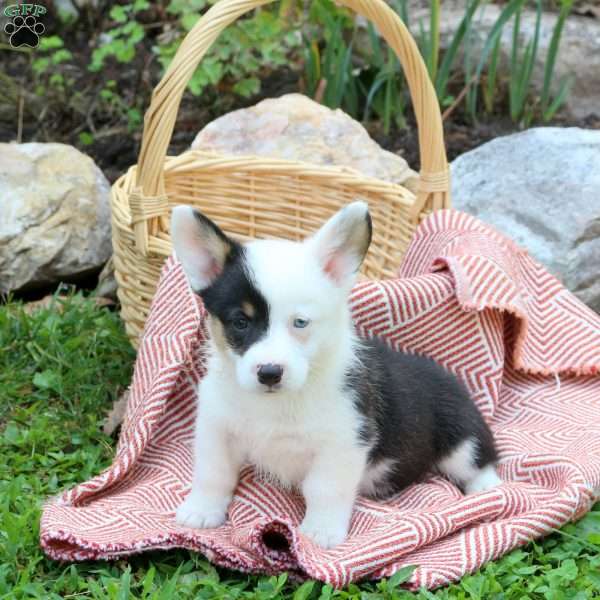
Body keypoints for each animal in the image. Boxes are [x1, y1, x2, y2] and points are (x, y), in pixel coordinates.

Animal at [171, 203, 500, 548]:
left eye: (300, 322)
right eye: (240, 322)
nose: (270, 373)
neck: (277, 402)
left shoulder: (343, 442)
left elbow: (324, 489)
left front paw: (321, 532)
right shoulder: (216, 428)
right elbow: (213, 472)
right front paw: (201, 511)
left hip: (462, 438)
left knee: (481, 460)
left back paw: (486, 490)